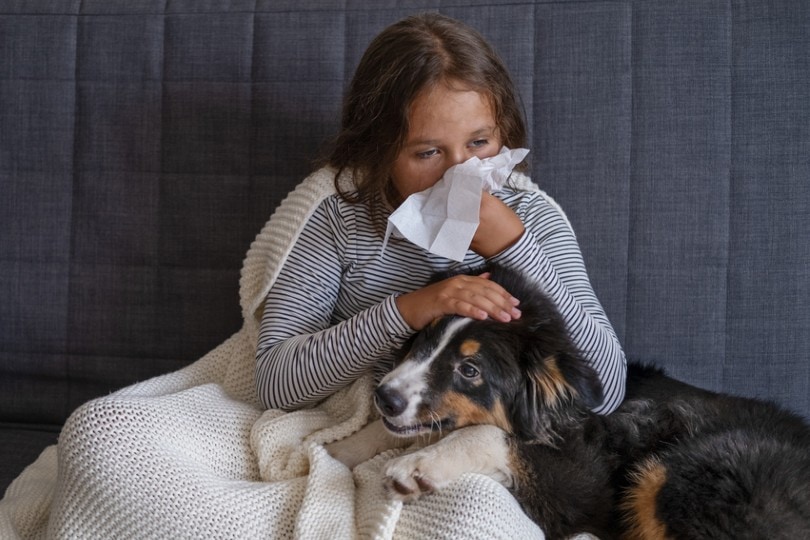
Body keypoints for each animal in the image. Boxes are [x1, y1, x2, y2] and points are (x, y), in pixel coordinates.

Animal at [324, 264, 808, 536]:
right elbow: (386, 433)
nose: (384, 398)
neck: (558, 412)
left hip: (683, 475)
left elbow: (490, 436)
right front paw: (337, 450)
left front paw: (417, 467)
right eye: (424, 338)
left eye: (470, 370)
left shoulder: (582, 484)